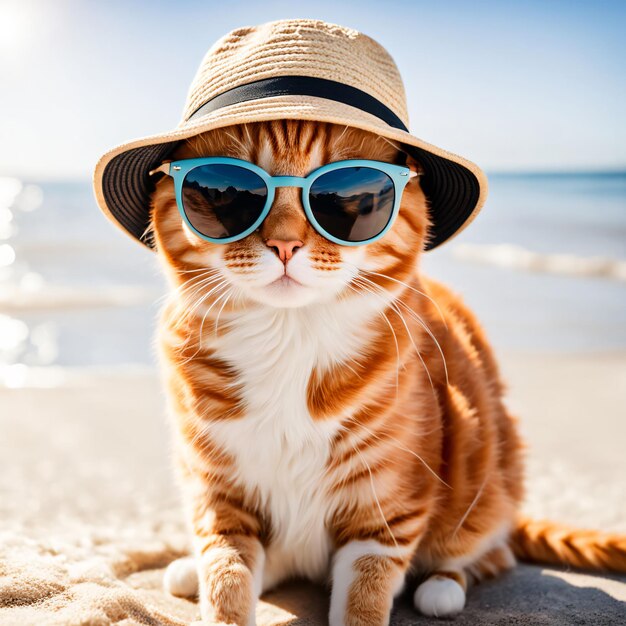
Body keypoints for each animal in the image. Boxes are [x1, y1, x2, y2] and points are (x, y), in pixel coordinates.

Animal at [150, 119, 624, 620]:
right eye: (226, 194)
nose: (285, 244)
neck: (288, 338)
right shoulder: (218, 498)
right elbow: (227, 578)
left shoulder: (387, 512)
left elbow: (364, 596)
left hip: (485, 467)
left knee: (490, 552)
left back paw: (443, 585)